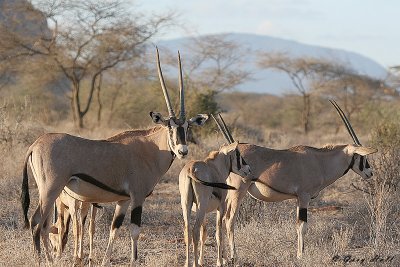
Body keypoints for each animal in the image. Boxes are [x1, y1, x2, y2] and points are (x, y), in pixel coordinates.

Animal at [179, 114, 252, 267]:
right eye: (237, 154)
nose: (248, 169)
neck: (216, 167)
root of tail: (190, 170)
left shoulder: (206, 212)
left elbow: (204, 233)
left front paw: (201, 260)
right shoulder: (221, 207)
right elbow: (219, 232)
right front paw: (220, 261)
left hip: (186, 205)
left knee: (187, 230)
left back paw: (187, 263)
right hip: (201, 206)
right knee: (194, 231)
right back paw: (194, 264)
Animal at [223, 100, 376, 262]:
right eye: (362, 156)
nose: (370, 173)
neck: (320, 162)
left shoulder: (298, 199)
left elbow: (297, 226)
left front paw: (298, 254)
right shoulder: (304, 196)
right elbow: (303, 227)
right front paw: (301, 256)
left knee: (223, 218)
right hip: (238, 192)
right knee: (230, 220)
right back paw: (233, 256)